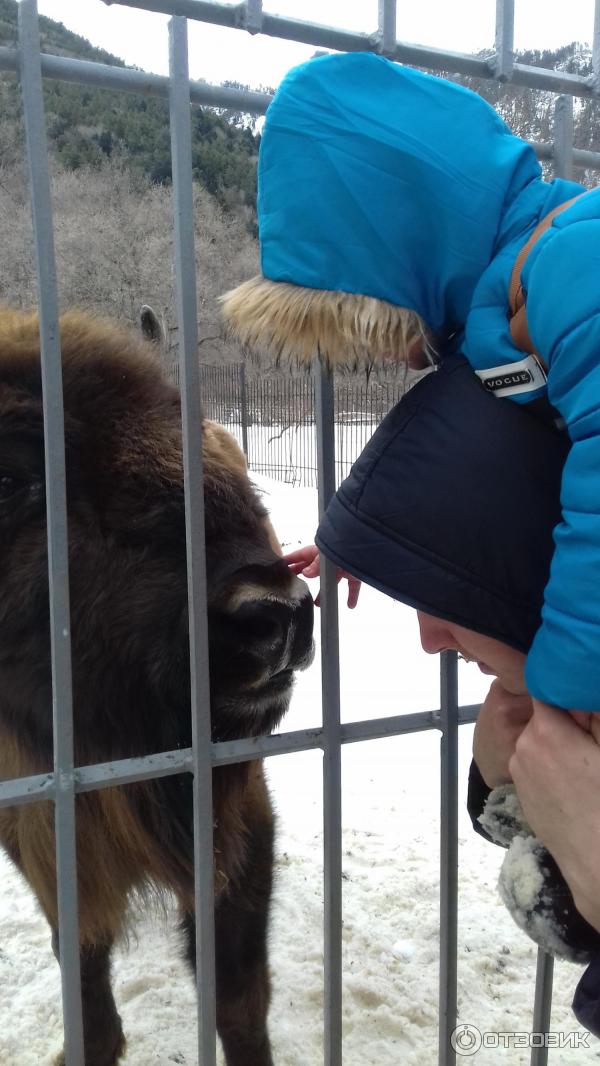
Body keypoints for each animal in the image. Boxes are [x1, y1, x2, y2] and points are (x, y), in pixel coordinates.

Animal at [0, 309, 315, 1066]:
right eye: (8, 478)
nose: (274, 615)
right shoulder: (39, 834)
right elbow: (81, 962)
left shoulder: (238, 820)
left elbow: (237, 996)